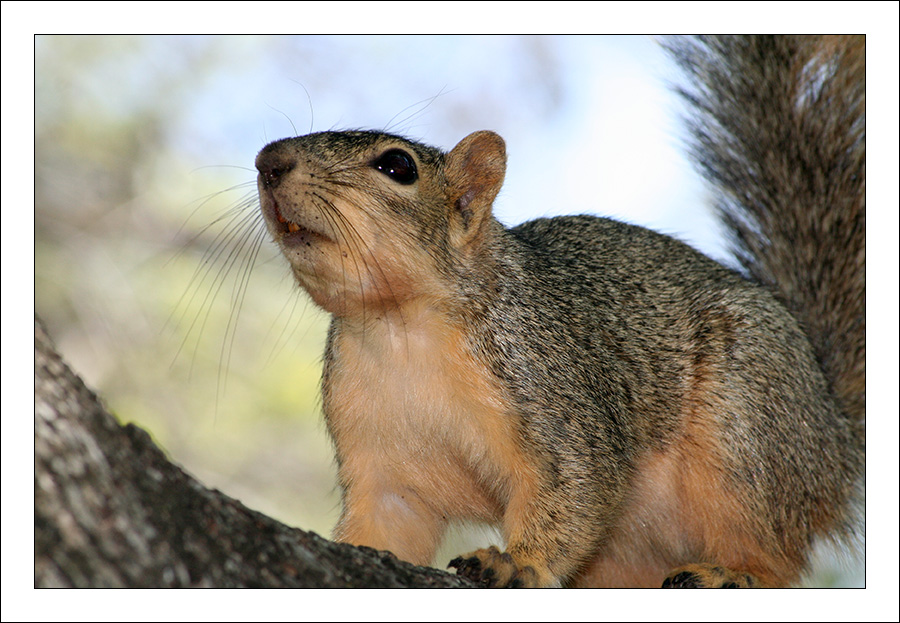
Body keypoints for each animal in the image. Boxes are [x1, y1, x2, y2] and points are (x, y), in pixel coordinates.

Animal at [251, 35, 864, 588]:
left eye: (398, 166)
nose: (268, 161)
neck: (400, 326)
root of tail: (832, 424)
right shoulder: (381, 455)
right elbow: (386, 522)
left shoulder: (551, 387)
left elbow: (578, 484)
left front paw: (518, 564)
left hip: (748, 428)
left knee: (773, 549)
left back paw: (733, 573)